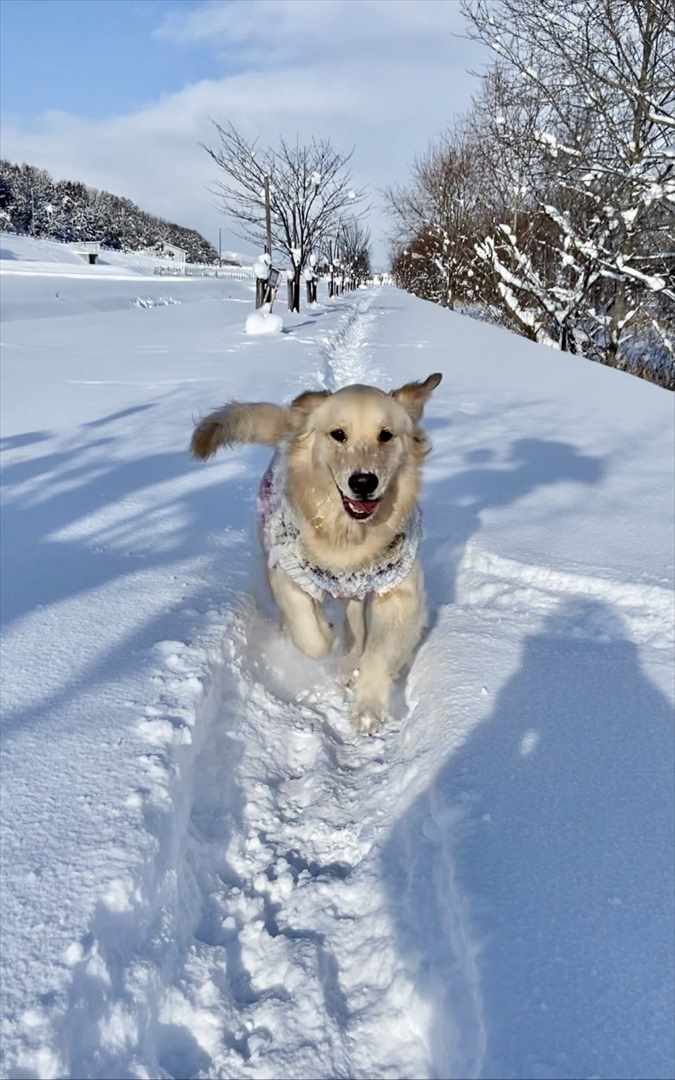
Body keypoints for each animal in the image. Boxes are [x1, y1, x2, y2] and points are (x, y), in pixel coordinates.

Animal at [191, 373, 442, 734]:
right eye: (338, 434)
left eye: (386, 435)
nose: (363, 482)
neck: (348, 535)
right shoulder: (285, 570)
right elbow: (311, 636)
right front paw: (325, 632)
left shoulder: (399, 589)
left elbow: (379, 653)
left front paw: (368, 707)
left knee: (358, 626)